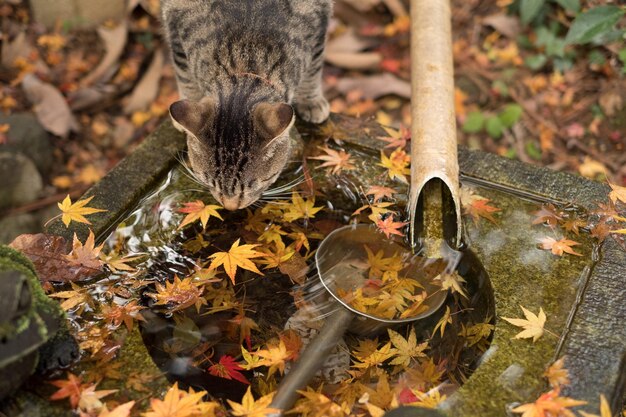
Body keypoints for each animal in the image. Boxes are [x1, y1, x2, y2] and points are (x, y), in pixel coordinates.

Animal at [160, 0, 332, 208]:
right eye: (209, 181)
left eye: (252, 185)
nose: (230, 206)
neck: (247, 52)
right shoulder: (174, 18)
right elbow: (184, 72)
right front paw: (192, 100)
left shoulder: (320, 18)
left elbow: (314, 66)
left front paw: (311, 100)